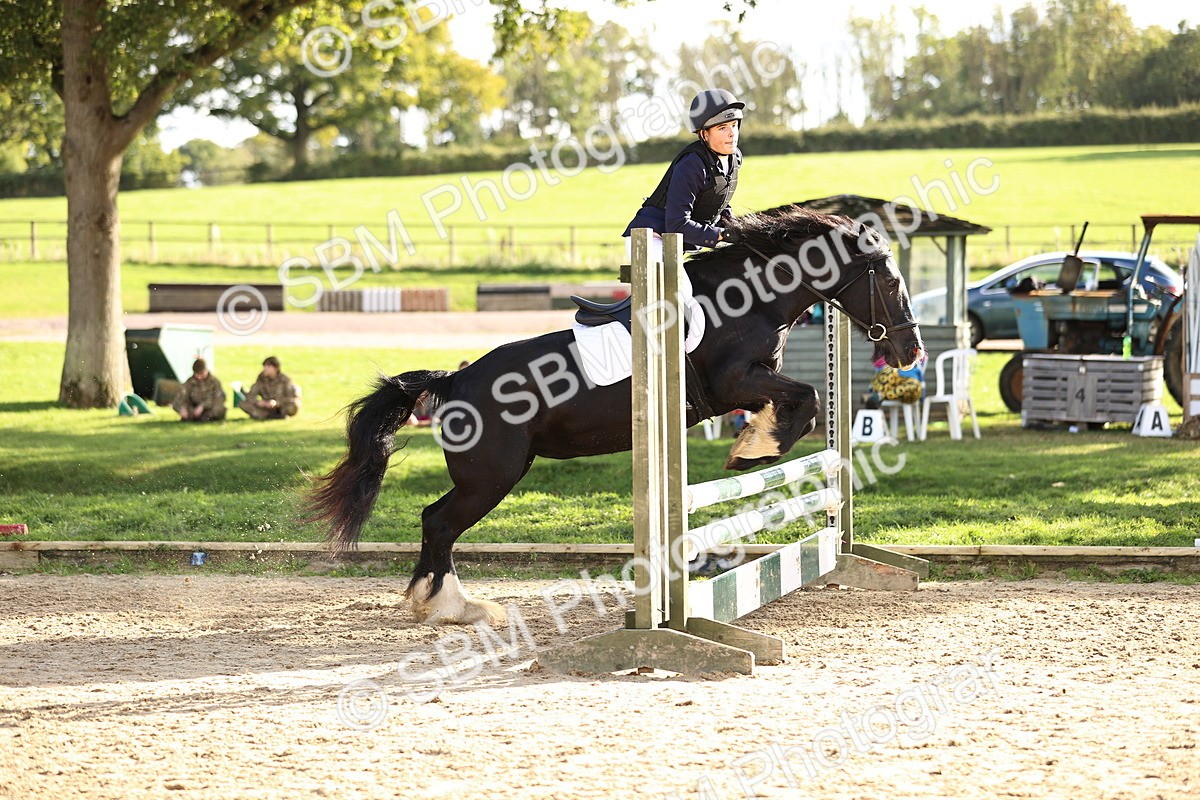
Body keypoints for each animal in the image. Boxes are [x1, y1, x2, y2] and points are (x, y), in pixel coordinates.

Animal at [307, 206, 925, 625]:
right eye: (890, 279)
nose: (910, 350)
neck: (751, 297)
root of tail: (454, 379)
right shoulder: (733, 383)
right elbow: (808, 399)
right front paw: (756, 449)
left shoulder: (745, 388)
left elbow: (801, 403)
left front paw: (754, 441)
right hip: (492, 477)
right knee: (438, 522)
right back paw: (450, 606)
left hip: (493, 475)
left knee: (436, 521)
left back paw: (440, 603)